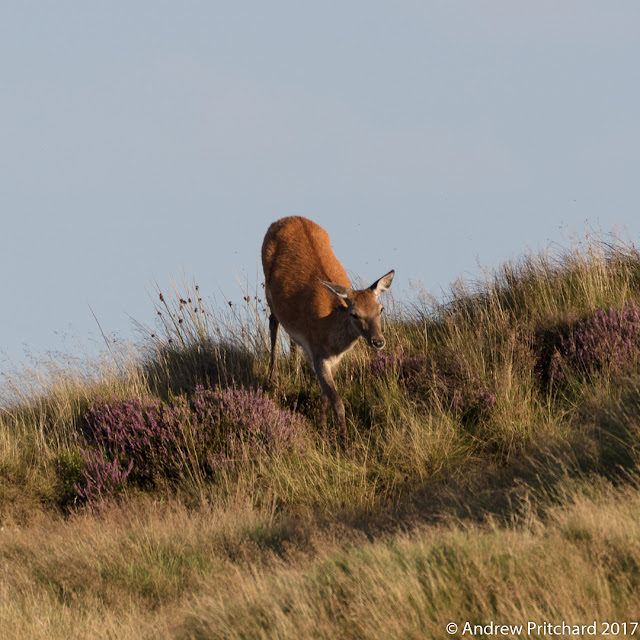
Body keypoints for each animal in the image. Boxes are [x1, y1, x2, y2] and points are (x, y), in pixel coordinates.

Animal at [262, 215, 396, 440]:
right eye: (354, 314)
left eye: (381, 309)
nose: (378, 341)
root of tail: (285, 219)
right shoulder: (318, 355)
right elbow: (337, 401)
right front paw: (344, 441)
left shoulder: (334, 360)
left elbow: (325, 397)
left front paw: (323, 429)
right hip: (267, 289)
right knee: (273, 323)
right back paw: (274, 378)